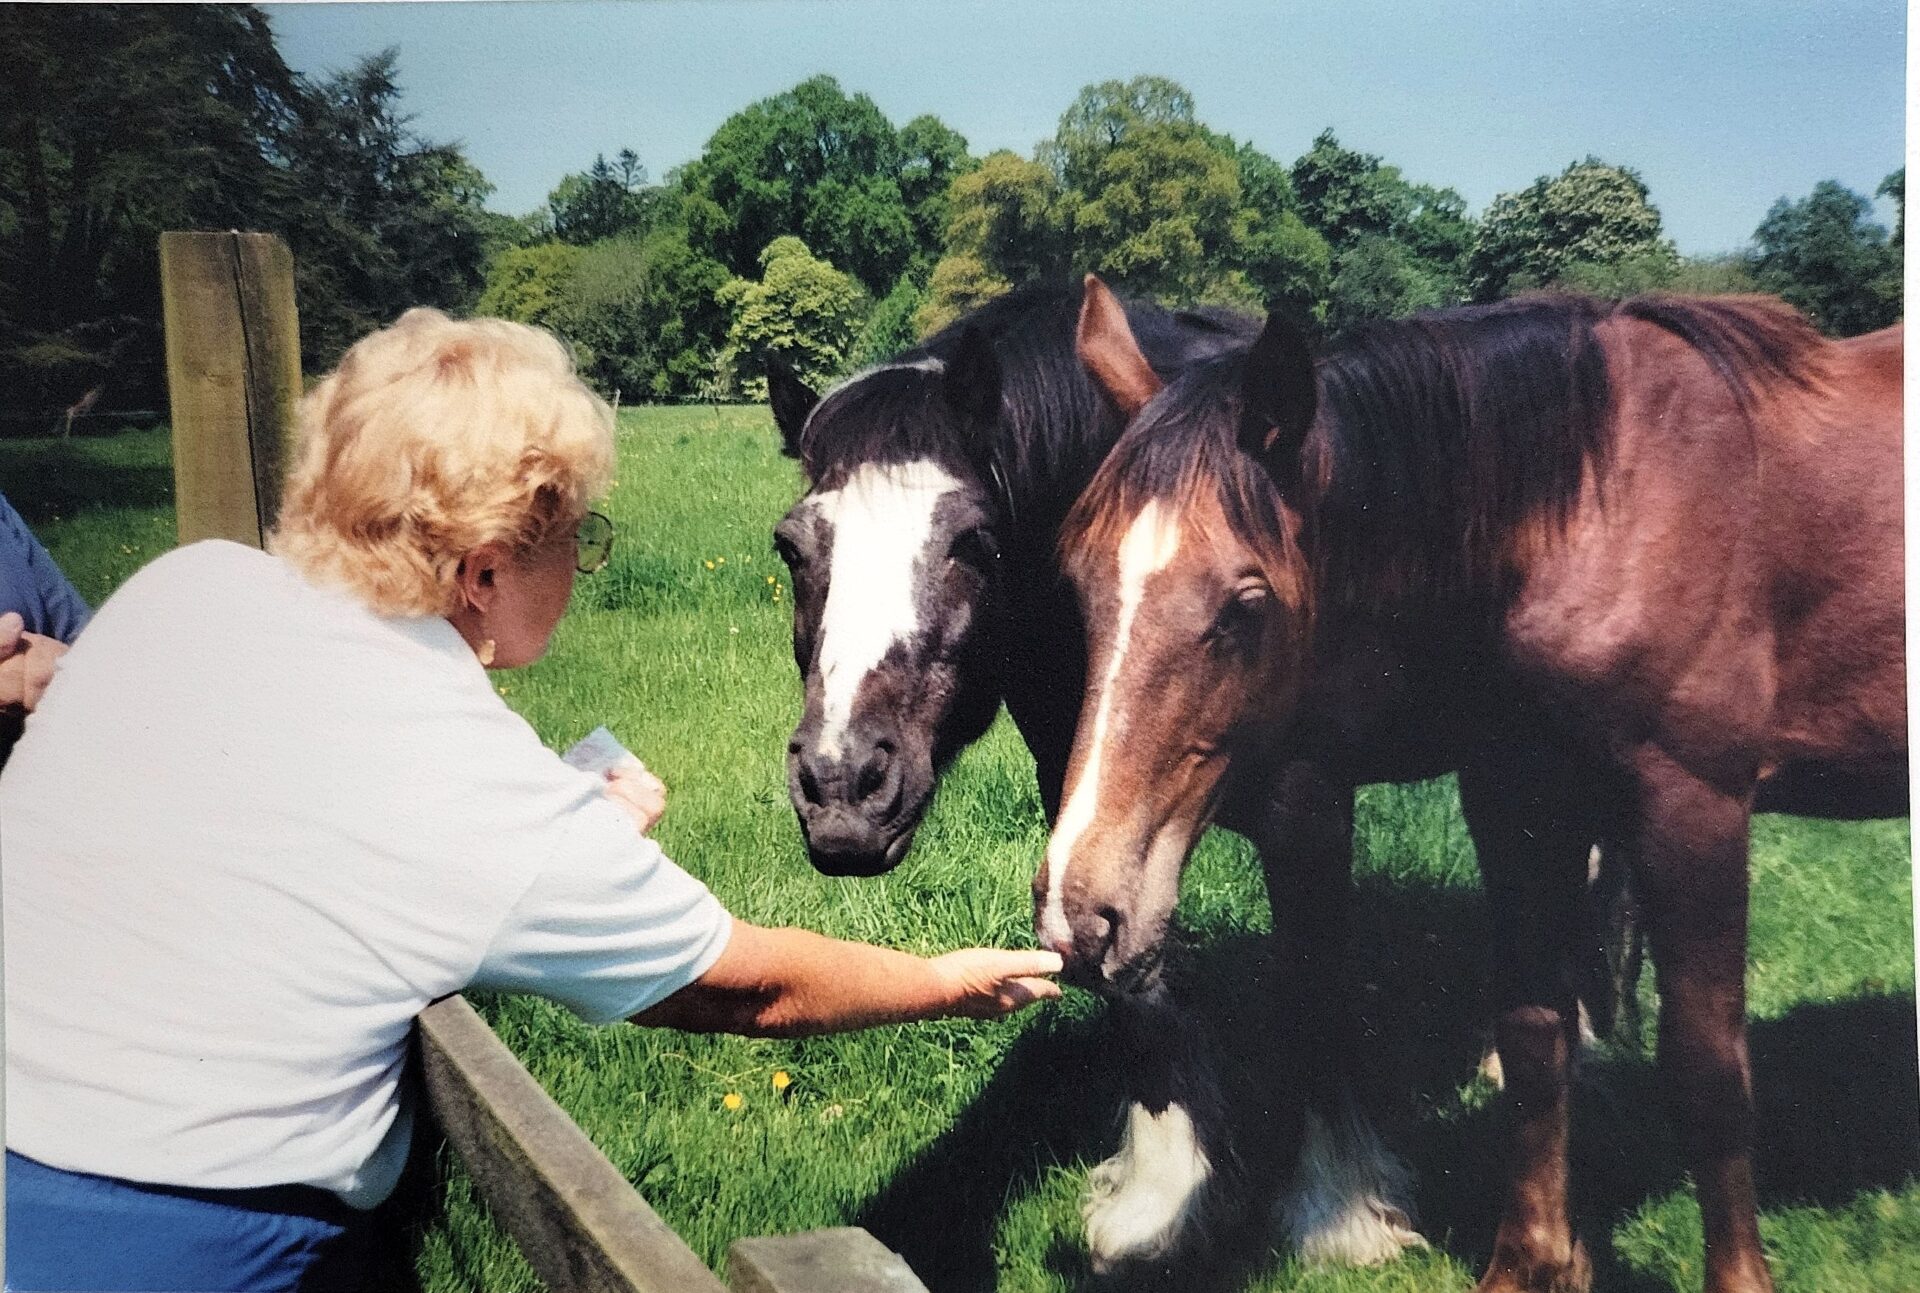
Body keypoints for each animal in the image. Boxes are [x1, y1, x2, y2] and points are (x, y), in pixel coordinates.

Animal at [766, 282, 1429, 1274]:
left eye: (974, 542)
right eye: (792, 549)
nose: (843, 786)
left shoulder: (1309, 809)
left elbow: (1314, 979)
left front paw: (1338, 1212)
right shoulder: (1083, 816)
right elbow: (1130, 980)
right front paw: (1158, 1201)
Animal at [1045, 274, 1905, 1293]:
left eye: (1244, 606)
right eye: (1078, 583)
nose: (1081, 911)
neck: (1596, 512)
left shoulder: (1695, 808)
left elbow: (1707, 1077)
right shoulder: (1518, 794)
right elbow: (1534, 1042)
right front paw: (1532, 1264)